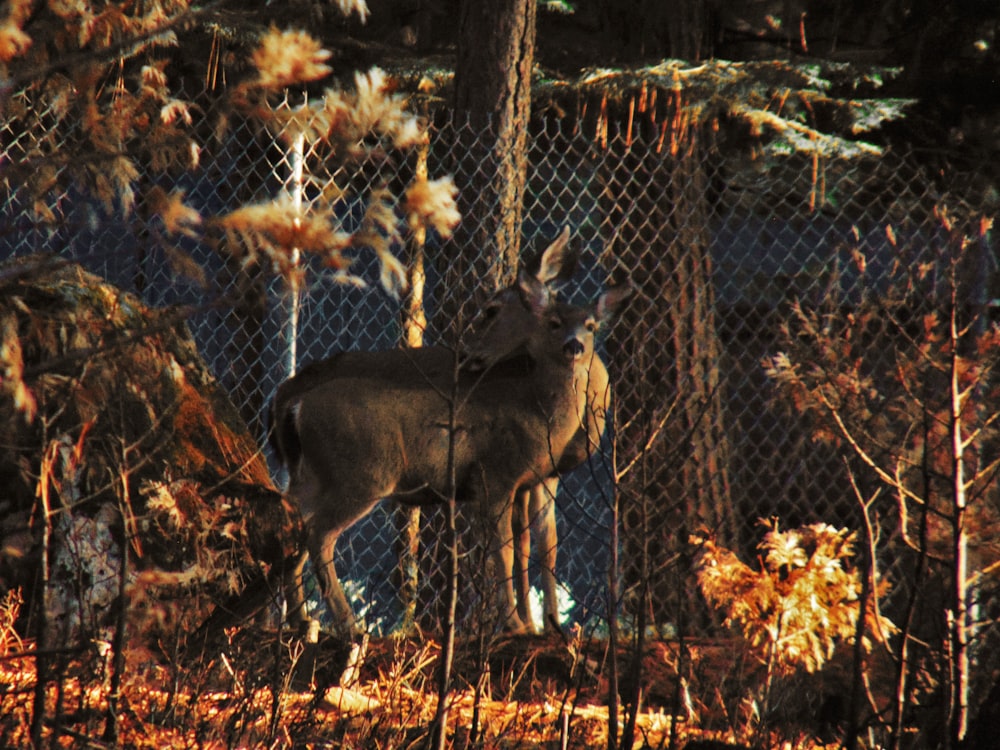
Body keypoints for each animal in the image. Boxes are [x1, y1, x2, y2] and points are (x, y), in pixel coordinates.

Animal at [270, 232, 628, 636]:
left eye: (491, 310)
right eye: (551, 323)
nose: (466, 353)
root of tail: (293, 399)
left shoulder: (539, 476)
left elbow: (542, 545)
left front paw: (545, 625)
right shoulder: (496, 476)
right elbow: (505, 549)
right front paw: (519, 624)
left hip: (315, 473)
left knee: (292, 517)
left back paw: (302, 620)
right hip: (363, 474)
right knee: (319, 534)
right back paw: (347, 625)